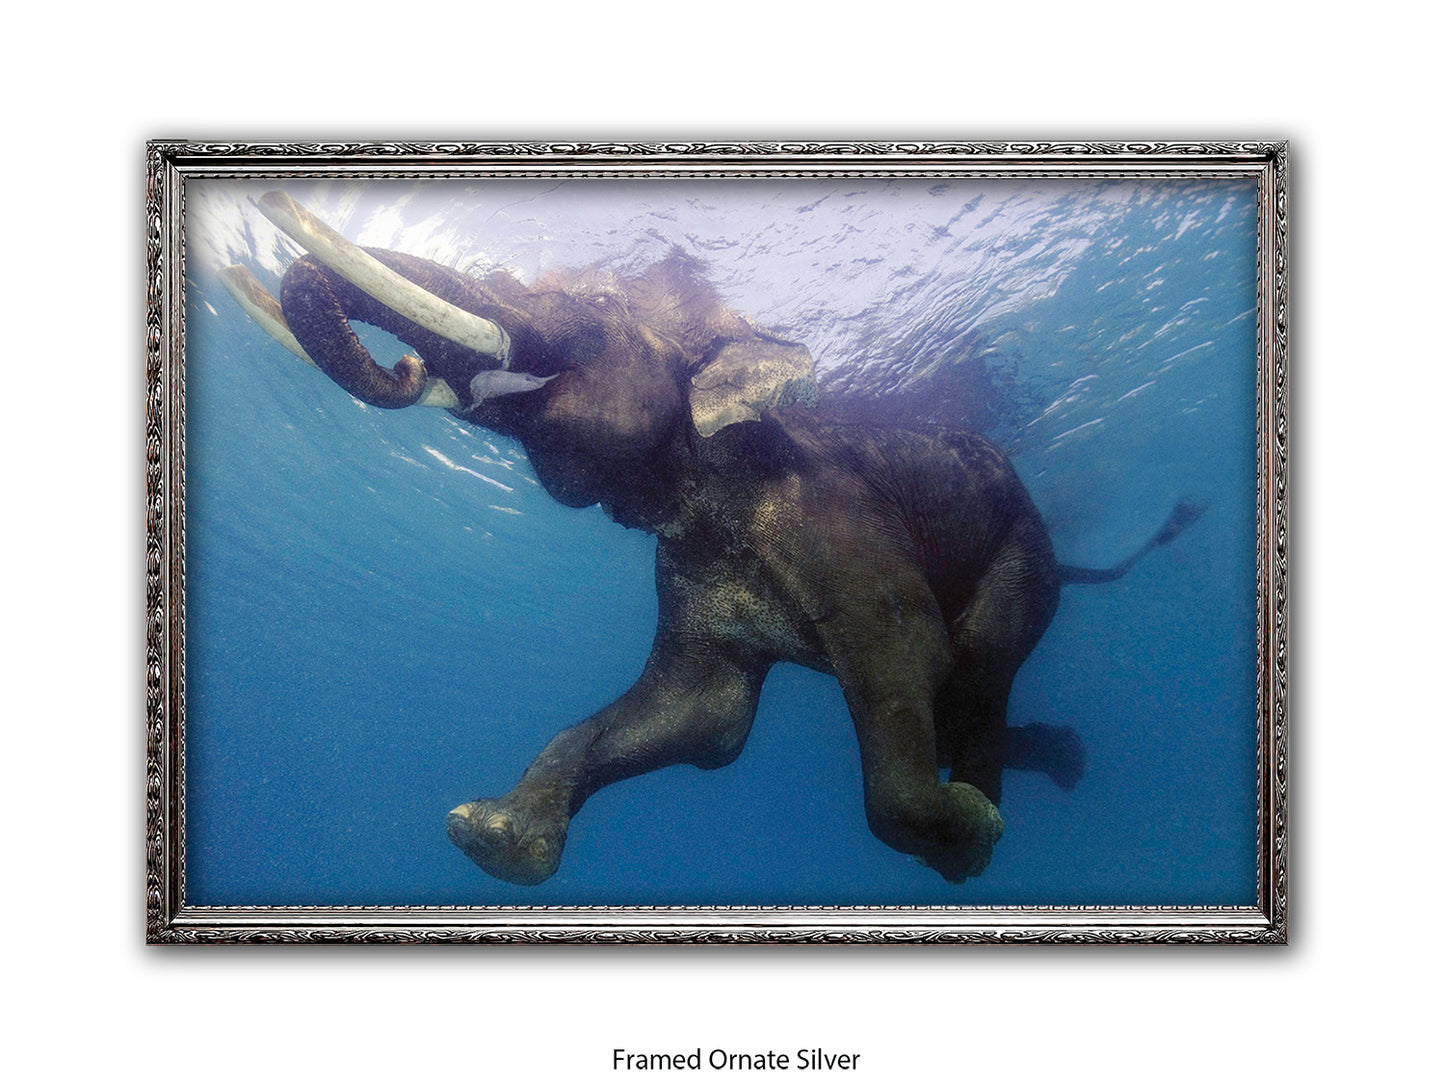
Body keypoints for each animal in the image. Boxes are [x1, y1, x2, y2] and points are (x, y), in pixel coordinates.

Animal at [257, 206, 1200, 886]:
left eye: (596, 311)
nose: (411, 369)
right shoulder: (688, 572)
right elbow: (702, 717)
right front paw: (486, 835)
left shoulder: (838, 521)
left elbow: (907, 659)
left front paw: (964, 834)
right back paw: (1050, 765)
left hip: (1020, 557)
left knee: (973, 670)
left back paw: (986, 818)